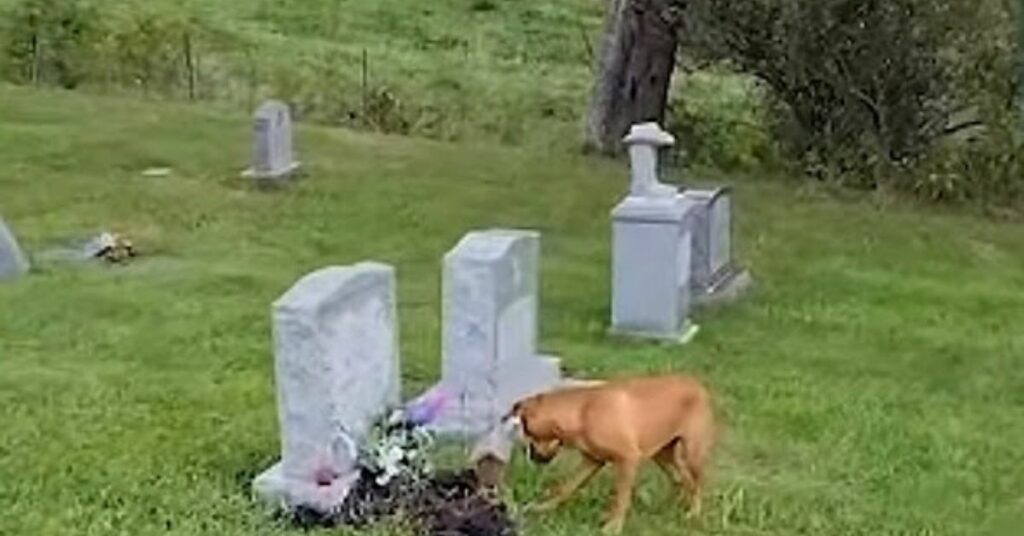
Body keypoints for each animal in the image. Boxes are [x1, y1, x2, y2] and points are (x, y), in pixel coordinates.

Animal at [509, 375, 716, 532]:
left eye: (527, 430)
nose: (529, 454)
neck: (582, 413)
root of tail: (697, 385)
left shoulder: (628, 460)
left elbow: (621, 498)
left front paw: (614, 526)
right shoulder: (592, 461)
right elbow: (566, 487)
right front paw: (543, 507)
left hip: (692, 453)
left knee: (697, 483)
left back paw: (693, 512)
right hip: (662, 455)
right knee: (681, 480)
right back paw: (672, 506)